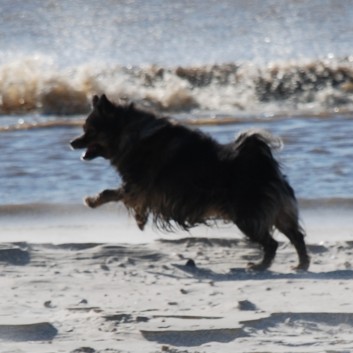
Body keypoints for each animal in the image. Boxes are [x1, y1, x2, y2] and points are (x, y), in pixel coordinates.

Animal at [71, 93, 308, 270]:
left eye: (89, 130)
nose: (72, 142)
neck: (131, 133)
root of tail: (263, 163)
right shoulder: (141, 189)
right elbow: (128, 200)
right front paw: (140, 219)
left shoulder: (137, 185)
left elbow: (111, 193)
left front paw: (92, 201)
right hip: (277, 212)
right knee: (296, 236)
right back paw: (301, 264)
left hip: (246, 217)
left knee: (272, 243)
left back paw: (261, 266)